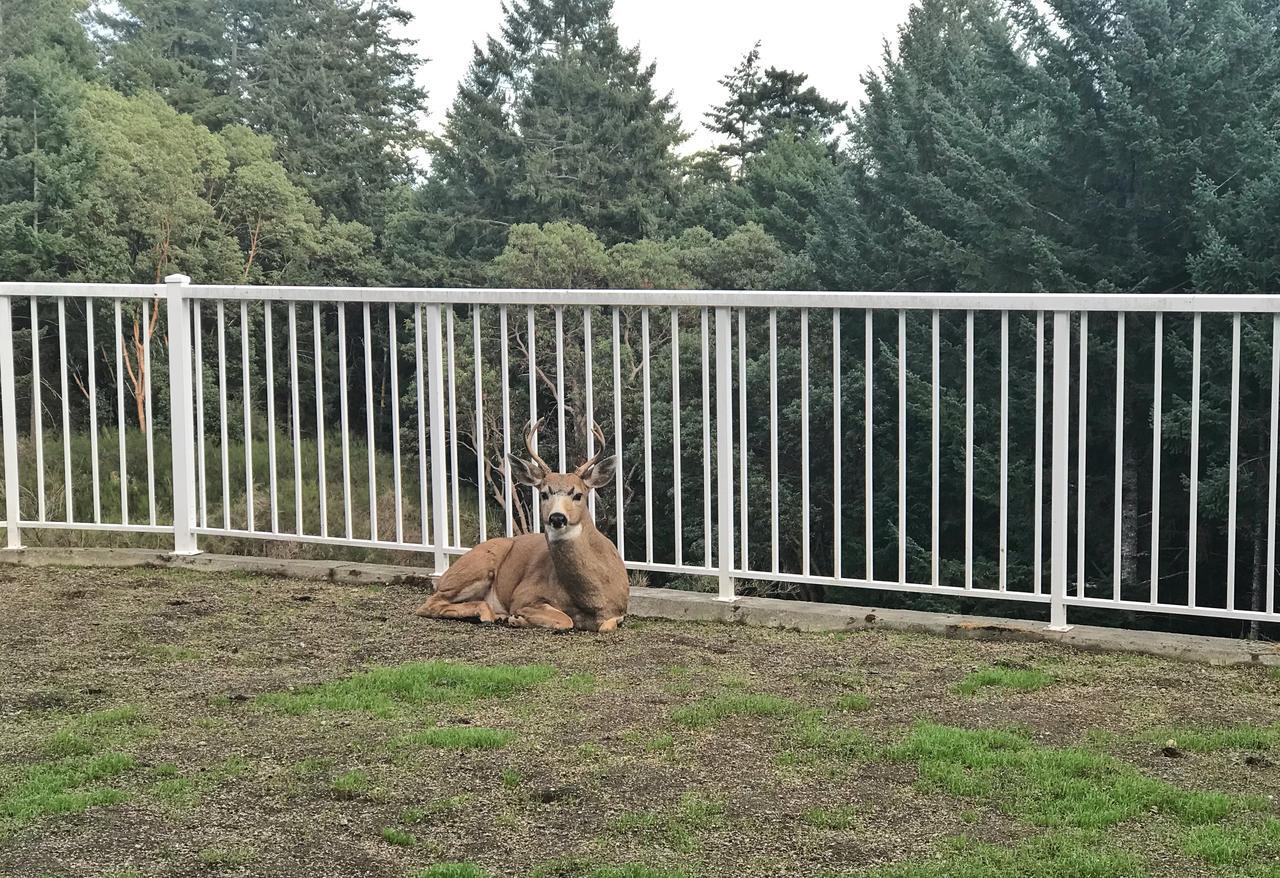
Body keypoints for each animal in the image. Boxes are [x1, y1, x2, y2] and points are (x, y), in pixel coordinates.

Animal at [412, 419, 627, 632]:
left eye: (578, 494)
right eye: (544, 493)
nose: (557, 518)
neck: (589, 601)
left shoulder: (618, 611)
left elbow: (607, 625)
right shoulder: (523, 595)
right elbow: (565, 620)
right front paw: (517, 619)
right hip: (478, 564)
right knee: (429, 604)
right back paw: (487, 614)